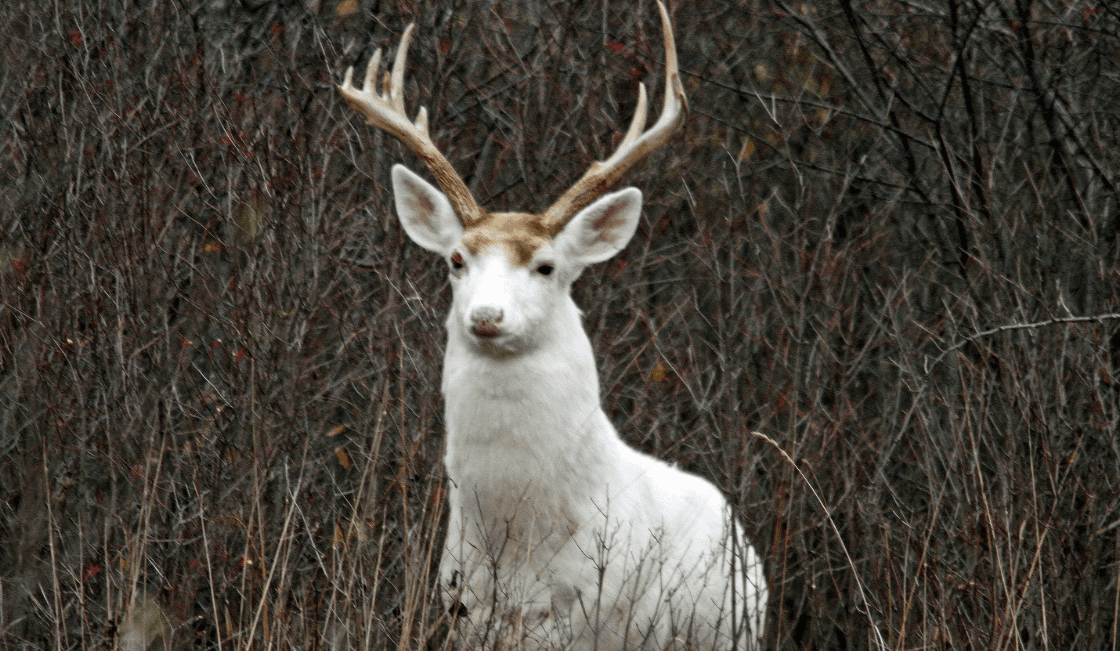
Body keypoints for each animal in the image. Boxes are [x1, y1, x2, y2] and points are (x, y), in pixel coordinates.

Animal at [338, 4, 766, 649]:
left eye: (546, 266)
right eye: (456, 260)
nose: (486, 316)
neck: (519, 539)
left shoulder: (584, 612)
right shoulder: (464, 608)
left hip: (729, 633)